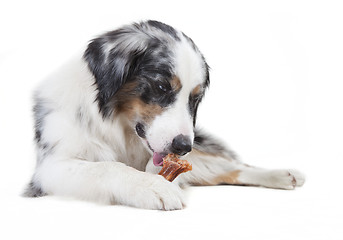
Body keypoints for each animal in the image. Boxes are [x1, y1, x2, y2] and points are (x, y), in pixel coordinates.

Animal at [22, 20, 306, 210]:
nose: (183, 147)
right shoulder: (50, 168)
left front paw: (154, 176)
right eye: (161, 87)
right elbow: (106, 167)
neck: (118, 128)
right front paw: (152, 186)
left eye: (195, 98)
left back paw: (283, 174)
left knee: (230, 166)